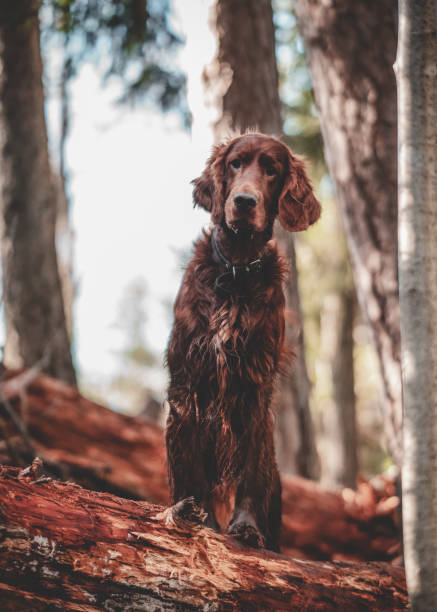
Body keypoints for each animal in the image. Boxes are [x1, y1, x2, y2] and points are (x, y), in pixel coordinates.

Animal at [165, 130, 318, 548]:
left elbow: (250, 466)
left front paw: (247, 526)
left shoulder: (254, 383)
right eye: (235, 164)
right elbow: (190, 464)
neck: (235, 272)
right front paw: (194, 513)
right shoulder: (187, 380)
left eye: (272, 169)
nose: (244, 201)